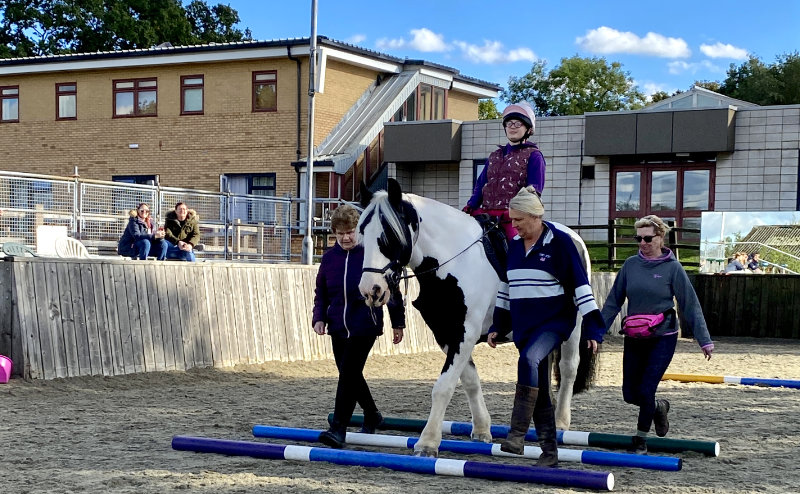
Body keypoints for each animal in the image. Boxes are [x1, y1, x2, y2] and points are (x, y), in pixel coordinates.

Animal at [358, 179, 592, 458]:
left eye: (390, 235)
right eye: (362, 232)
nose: (371, 289)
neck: (453, 263)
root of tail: (574, 237)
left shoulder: (464, 333)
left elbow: (443, 386)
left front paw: (427, 442)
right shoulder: (446, 334)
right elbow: (469, 380)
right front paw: (481, 429)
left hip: (574, 328)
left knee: (568, 368)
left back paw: (561, 421)